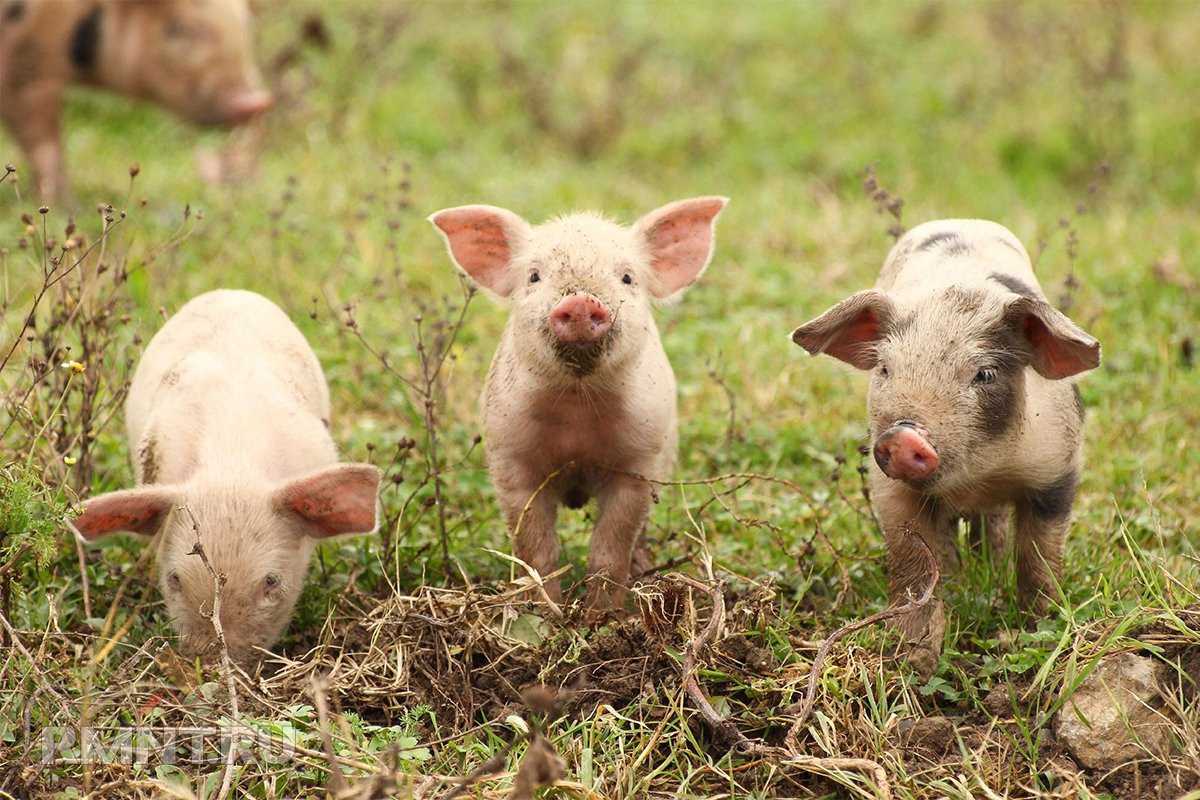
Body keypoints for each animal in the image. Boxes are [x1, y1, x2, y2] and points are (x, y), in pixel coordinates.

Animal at [0, 0, 272, 200]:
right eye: (186, 28)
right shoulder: (26, 63)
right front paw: (62, 204)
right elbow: (45, 144)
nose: (256, 102)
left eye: (245, 28)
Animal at [434, 199, 729, 614]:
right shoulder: (510, 459)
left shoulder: (639, 463)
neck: (577, 410)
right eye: (534, 276)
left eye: (627, 277)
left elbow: (609, 548)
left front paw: (603, 617)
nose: (579, 301)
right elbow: (536, 549)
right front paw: (545, 614)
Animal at [792, 221, 1099, 671]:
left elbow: (1039, 557)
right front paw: (911, 650)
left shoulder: (1057, 468)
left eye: (984, 374)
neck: (977, 475)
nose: (904, 435)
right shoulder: (890, 488)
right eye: (885, 369)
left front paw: (1036, 628)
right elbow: (913, 563)